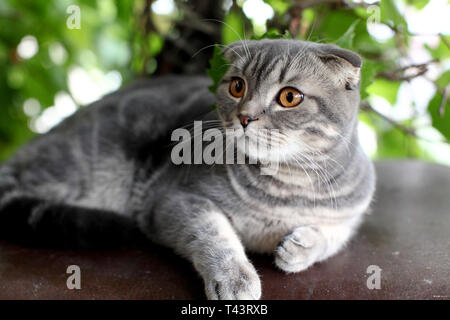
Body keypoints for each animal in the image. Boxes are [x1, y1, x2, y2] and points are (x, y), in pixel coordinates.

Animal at [0, 40, 376, 300]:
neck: (285, 188)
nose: (244, 117)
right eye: (237, 86)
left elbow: (332, 238)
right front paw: (236, 278)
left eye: (289, 97)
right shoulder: (170, 199)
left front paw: (298, 247)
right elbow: (213, 232)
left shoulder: (349, 216)